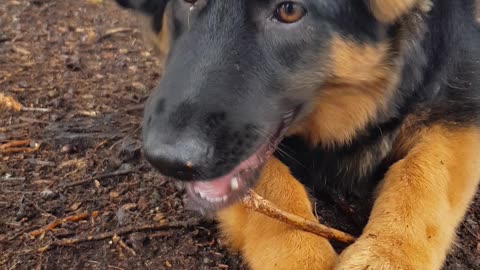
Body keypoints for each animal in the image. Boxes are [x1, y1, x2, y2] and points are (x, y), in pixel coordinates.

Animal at [115, 1, 480, 268]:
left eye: (289, 10)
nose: (167, 161)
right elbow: (275, 185)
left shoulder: (460, 114)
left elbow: (424, 175)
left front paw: (387, 255)